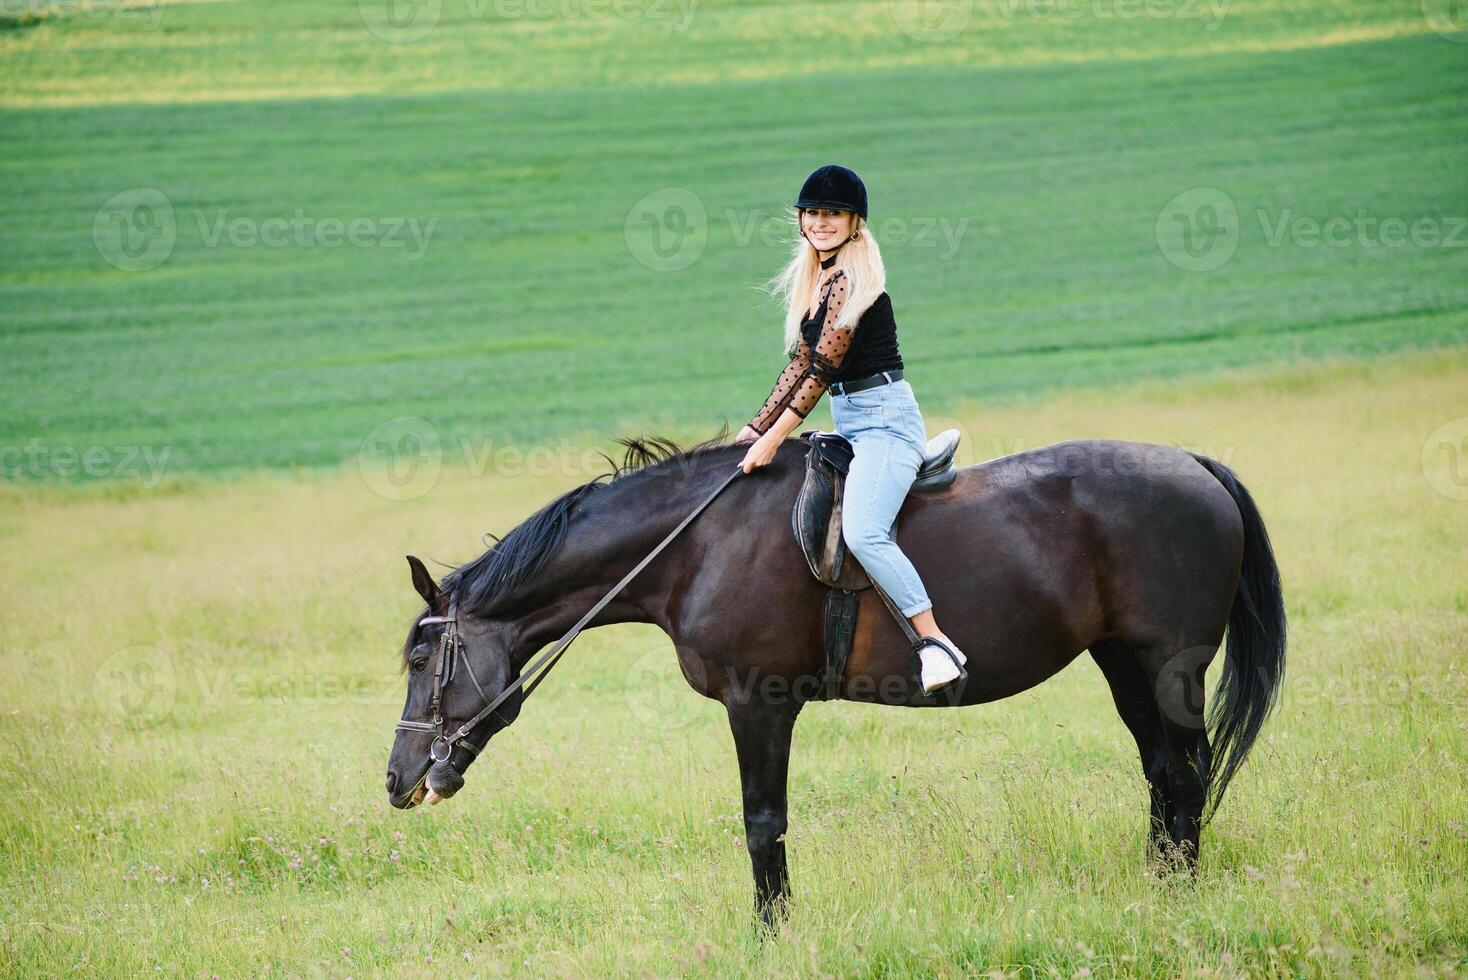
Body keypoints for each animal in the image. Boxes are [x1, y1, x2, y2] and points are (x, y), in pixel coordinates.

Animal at [387, 431, 1285, 921]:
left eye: (424, 659)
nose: (398, 778)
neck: (695, 544)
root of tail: (1196, 466)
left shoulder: (757, 705)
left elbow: (763, 824)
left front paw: (770, 933)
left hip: (1170, 667)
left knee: (1187, 773)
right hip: (1122, 663)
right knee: (1162, 772)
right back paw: (1159, 887)